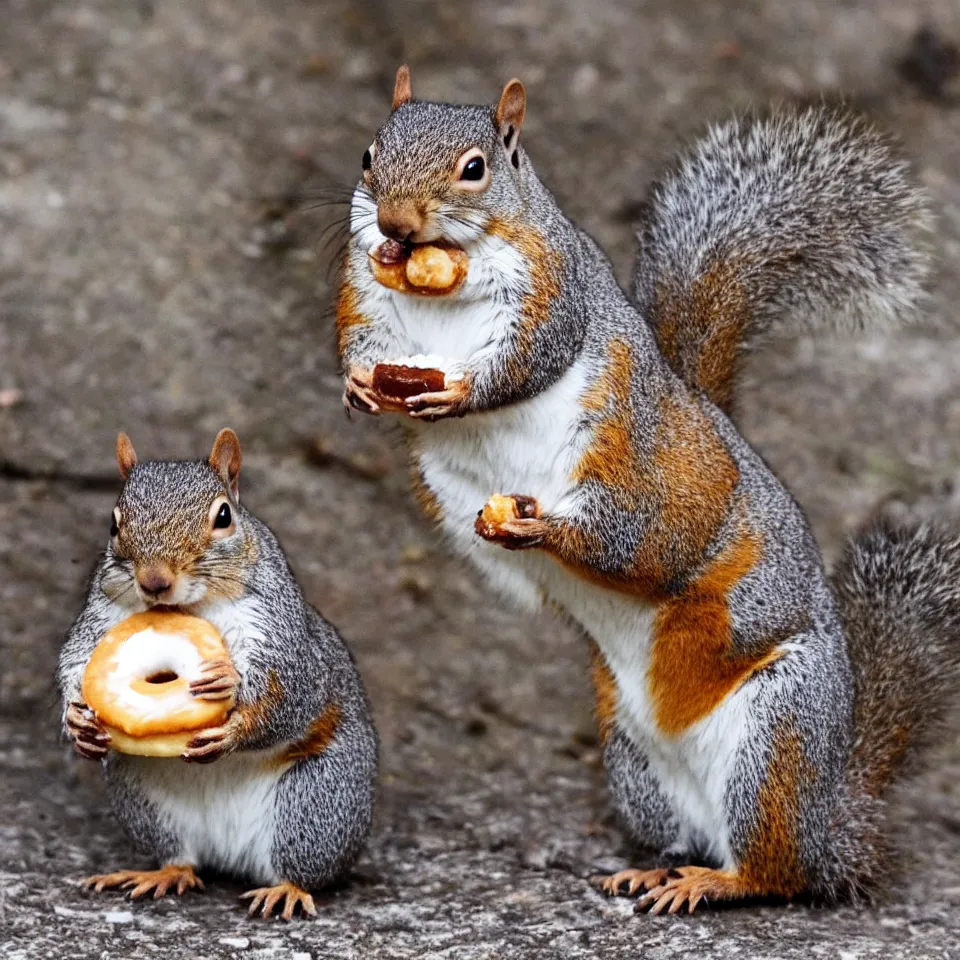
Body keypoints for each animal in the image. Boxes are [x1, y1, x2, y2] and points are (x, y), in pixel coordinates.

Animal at [55, 432, 378, 920]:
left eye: (223, 516)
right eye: (114, 523)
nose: (154, 581)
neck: (191, 608)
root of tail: (231, 856)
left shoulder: (279, 628)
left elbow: (289, 690)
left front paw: (229, 702)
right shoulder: (101, 616)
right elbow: (74, 661)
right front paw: (76, 722)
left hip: (317, 802)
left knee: (304, 863)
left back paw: (286, 889)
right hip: (145, 800)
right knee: (182, 857)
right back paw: (162, 873)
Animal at [332, 65, 960, 908]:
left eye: (475, 169)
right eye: (369, 154)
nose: (395, 224)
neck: (437, 291)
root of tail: (835, 826)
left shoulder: (554, 301)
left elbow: (527, 368)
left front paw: (469, 408)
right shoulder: (366, 302)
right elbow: (360, 346)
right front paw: (358, 390)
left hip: (772, 730)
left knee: (774, 870)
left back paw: (717, 882)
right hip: (632, 758)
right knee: (683, 832)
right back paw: (655, 867)